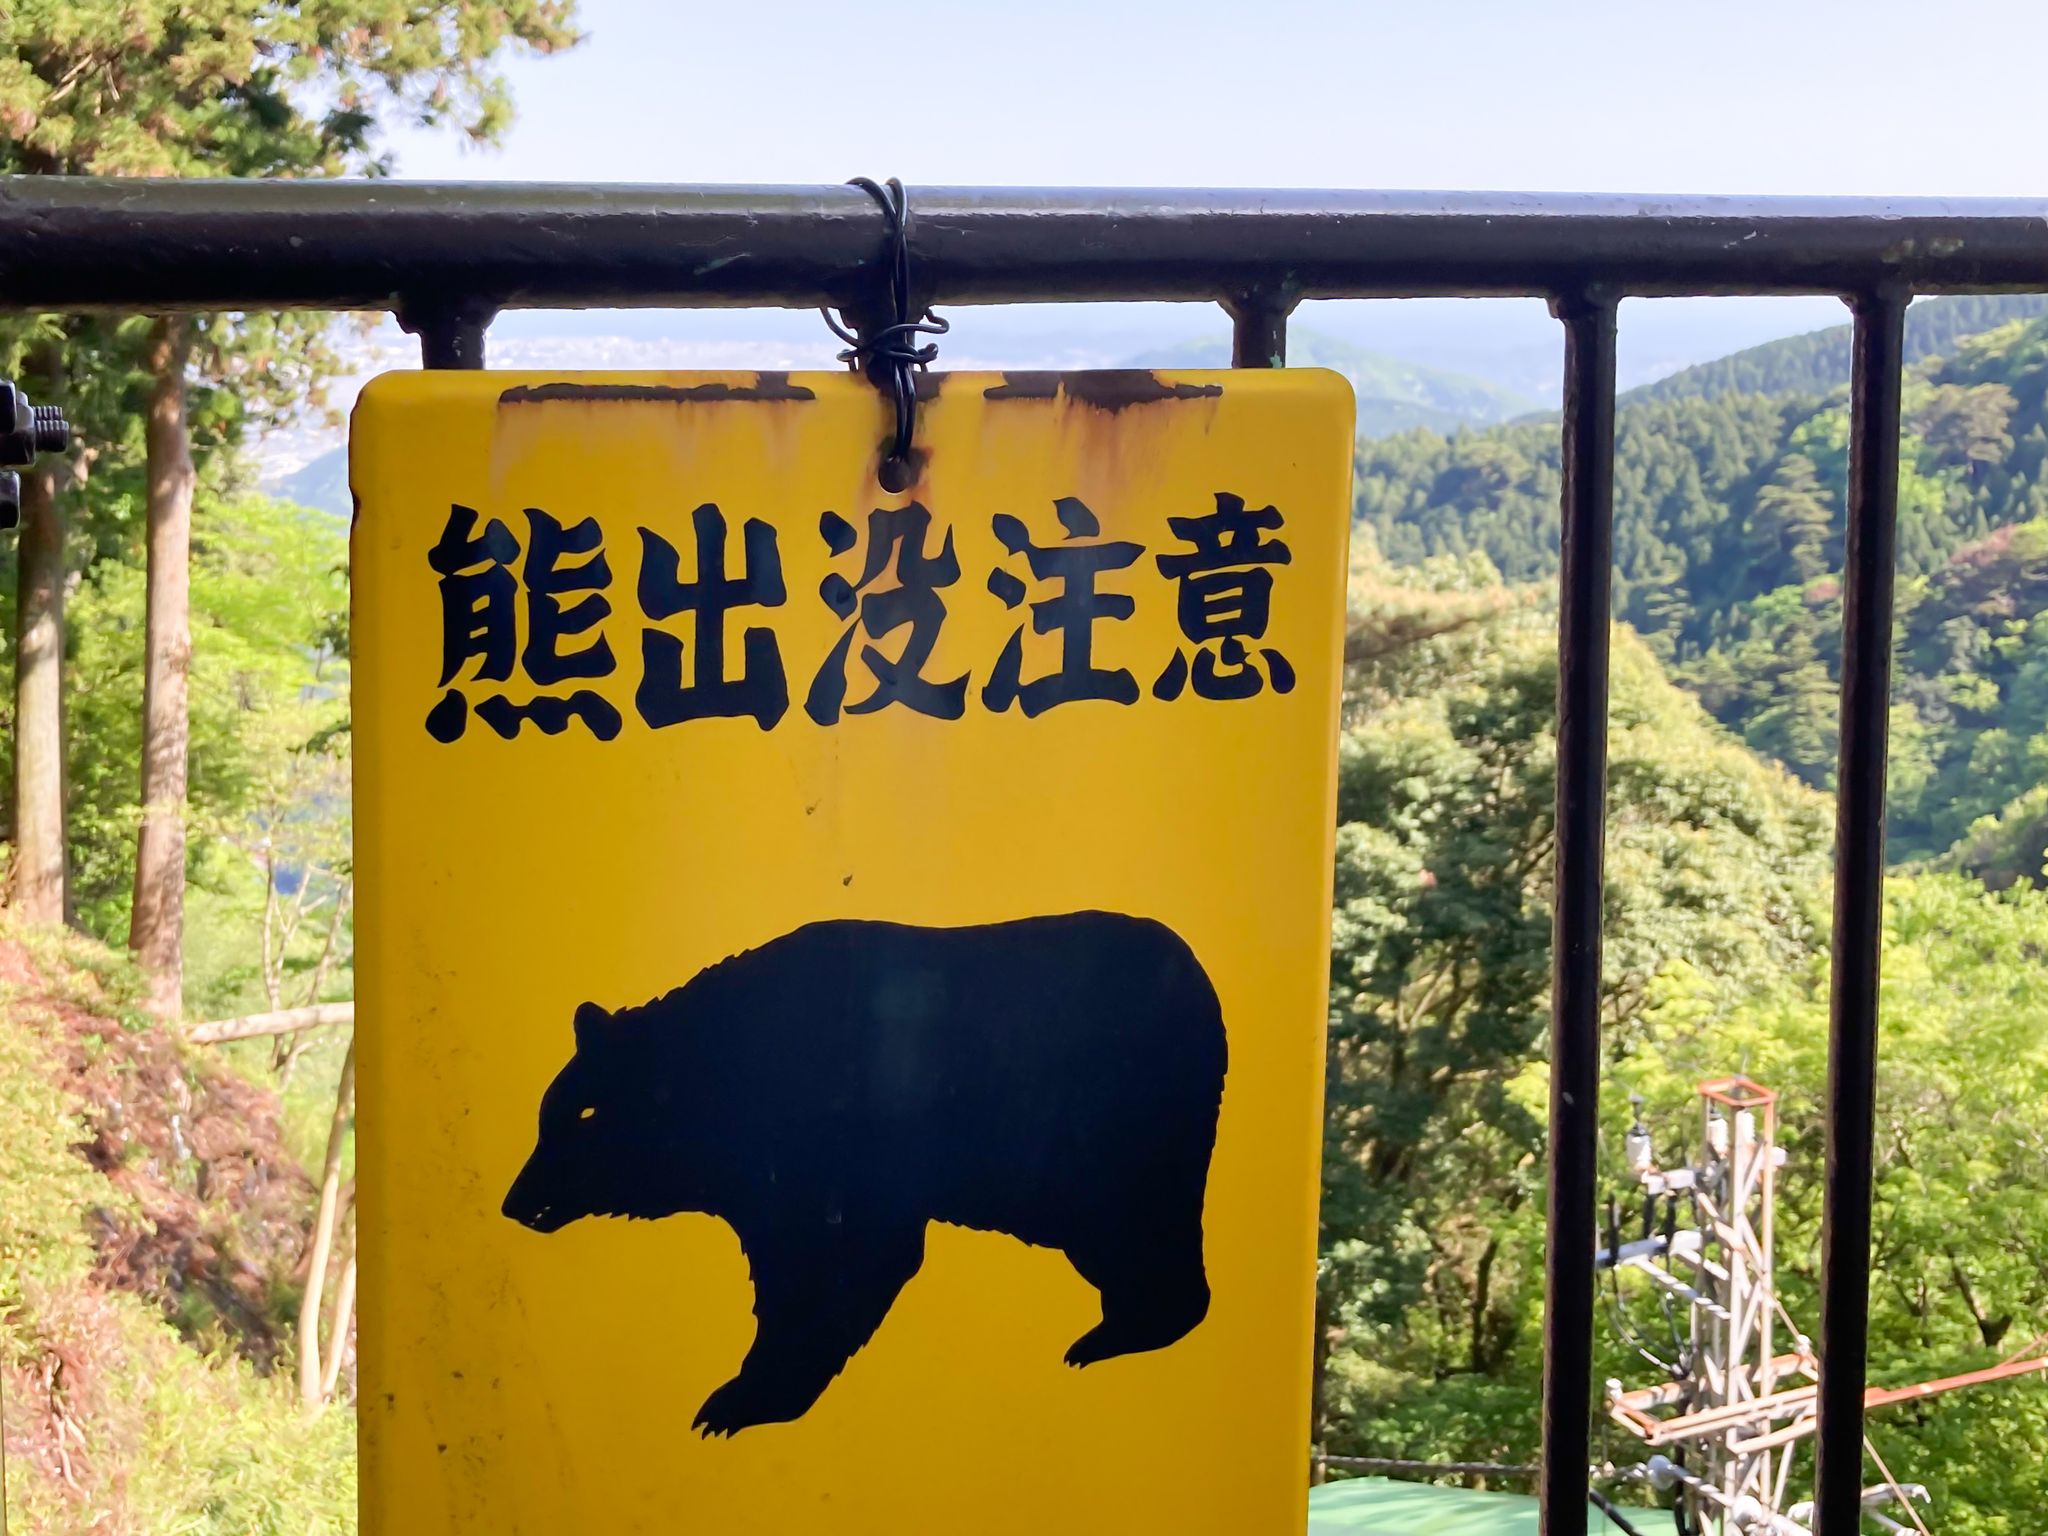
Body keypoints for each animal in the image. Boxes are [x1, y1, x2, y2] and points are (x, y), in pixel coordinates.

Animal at [502, 910, 1226, 1437]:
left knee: (1140, 1229)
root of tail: (1201, 978)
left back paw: (1113, 1335)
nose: (515, 1202)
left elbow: (836, 1265)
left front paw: (740, 1399)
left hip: (1104, 1141)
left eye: (583, 1112)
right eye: (547, 1114)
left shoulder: (831, 1153)